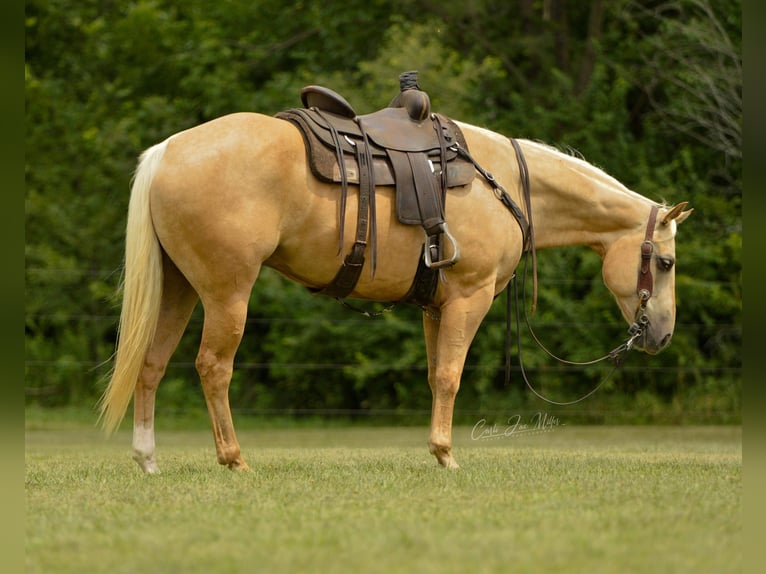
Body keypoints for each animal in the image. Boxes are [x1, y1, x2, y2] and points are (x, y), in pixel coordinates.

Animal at [99, 111, 692, 472]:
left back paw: (148, 459)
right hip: (227, 294)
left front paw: (436, 451)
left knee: (151, 364)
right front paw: (447, 455)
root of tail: (169, 151)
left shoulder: (436, 307)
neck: (502, 184)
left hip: (179, 288)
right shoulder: (469, 299)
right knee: (213, 367)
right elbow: (451, 377)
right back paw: (234, 458)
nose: (661, 335)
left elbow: (435, 377)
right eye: (664, 262)